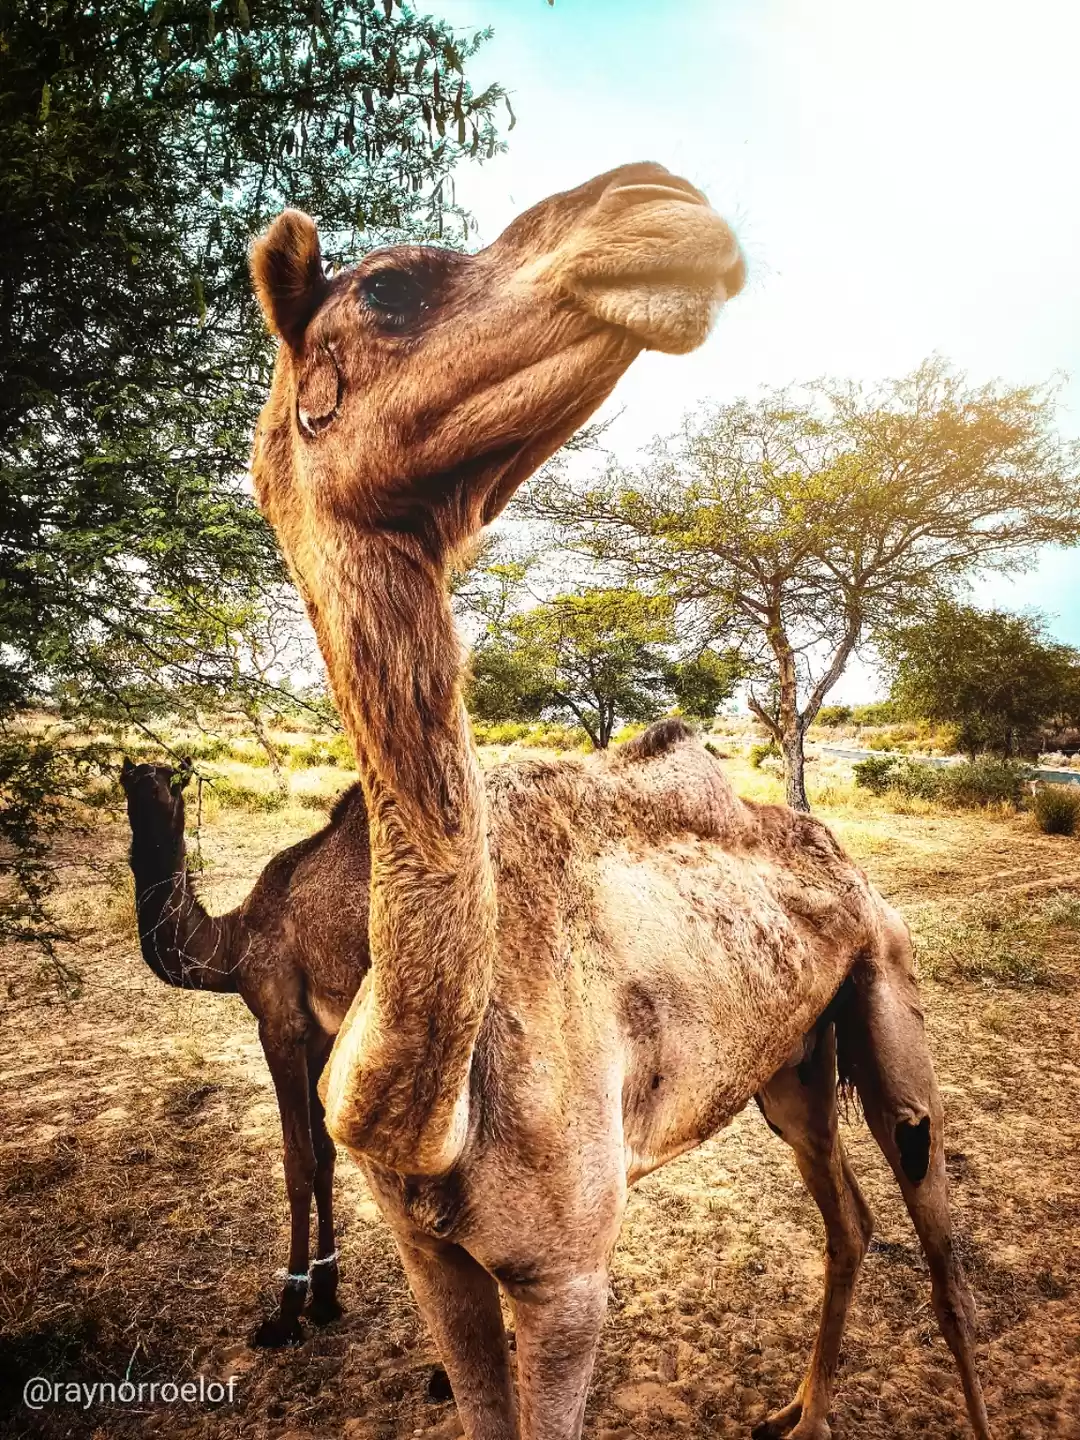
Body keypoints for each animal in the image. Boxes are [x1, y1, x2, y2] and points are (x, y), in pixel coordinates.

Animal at [120, 756, 371, 1346]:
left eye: (171, 785)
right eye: (129, 783)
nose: (146, 796)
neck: (229, 947)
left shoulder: (277, 1024)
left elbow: (298, 1160)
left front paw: (287, 1310)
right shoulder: (318, 1033)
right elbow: (324, 1154)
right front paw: (326, 1295)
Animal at [247, 163, 992, 1439]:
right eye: (386, 286)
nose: (657, 201)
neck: (432, 1097)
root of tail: (840, 860)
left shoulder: (569, 1273)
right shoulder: (429, 1253)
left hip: (889, 996)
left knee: (935, 1238)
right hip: (786, 1064)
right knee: (847, 1218)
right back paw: (797, 1413)